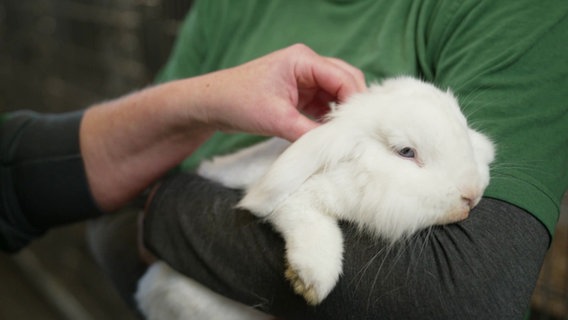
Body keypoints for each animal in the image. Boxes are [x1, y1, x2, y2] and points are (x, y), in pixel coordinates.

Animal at [135, 77, 494, 320]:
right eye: (406, 152)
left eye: (463, 128)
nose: (471, 195)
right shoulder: (298, 199)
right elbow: (305, 218)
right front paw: (311, 279)